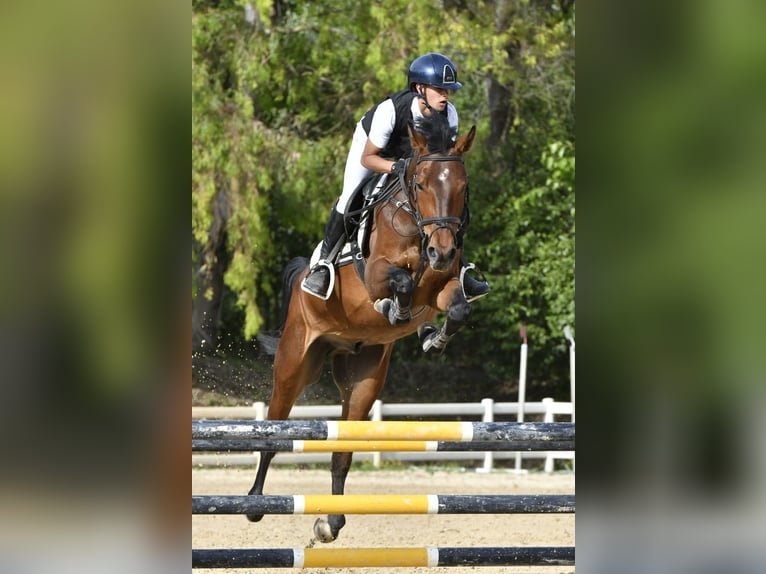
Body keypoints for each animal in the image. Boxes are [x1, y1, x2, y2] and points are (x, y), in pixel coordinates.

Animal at [247, 112, 477, 543]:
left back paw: (330, 523)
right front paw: (395, 310)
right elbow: (400, 284)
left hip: (363, 379)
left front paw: (431, 338)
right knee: (272, 432)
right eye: (422, 184)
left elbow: (457, 309)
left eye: (462, 186)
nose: (442, 251)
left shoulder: (442, 287)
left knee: (342, 451)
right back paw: (253, 503)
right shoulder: (375, 275)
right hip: (293, 364)